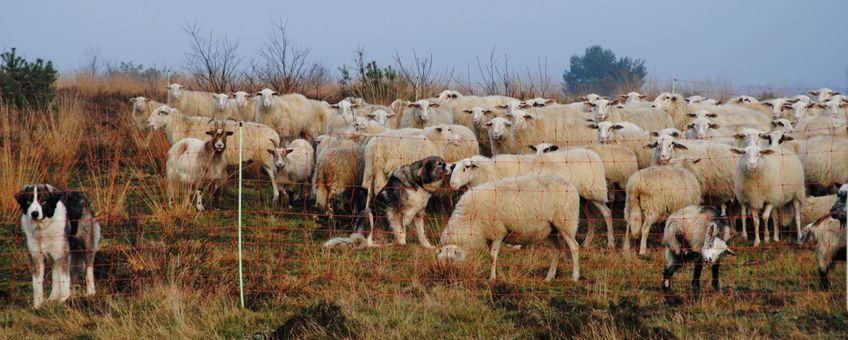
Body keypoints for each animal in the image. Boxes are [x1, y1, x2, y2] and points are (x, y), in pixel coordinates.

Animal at [438, 175, 584, 282]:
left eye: (451, 260)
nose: (448, 277)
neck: (469, 219)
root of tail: (571, 186)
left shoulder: (498, 232)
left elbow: (492, 256)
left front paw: (492, 278)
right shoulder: (489, 236)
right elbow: (494, 257)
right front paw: (500, 275)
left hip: (565, 223)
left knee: (574, 247)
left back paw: (574, 277)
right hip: (550, 230)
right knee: (557, 250)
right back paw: (549, 277)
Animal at [448, 149, 612, 247]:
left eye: (465, 168)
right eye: (454, 168)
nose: (452, 184)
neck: (491, 171)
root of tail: (593, 154)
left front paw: (515, 245)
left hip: (593, 192)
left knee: (607, 213)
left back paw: (610, 243)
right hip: (582, 199)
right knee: (592, 217)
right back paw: (587, 242)